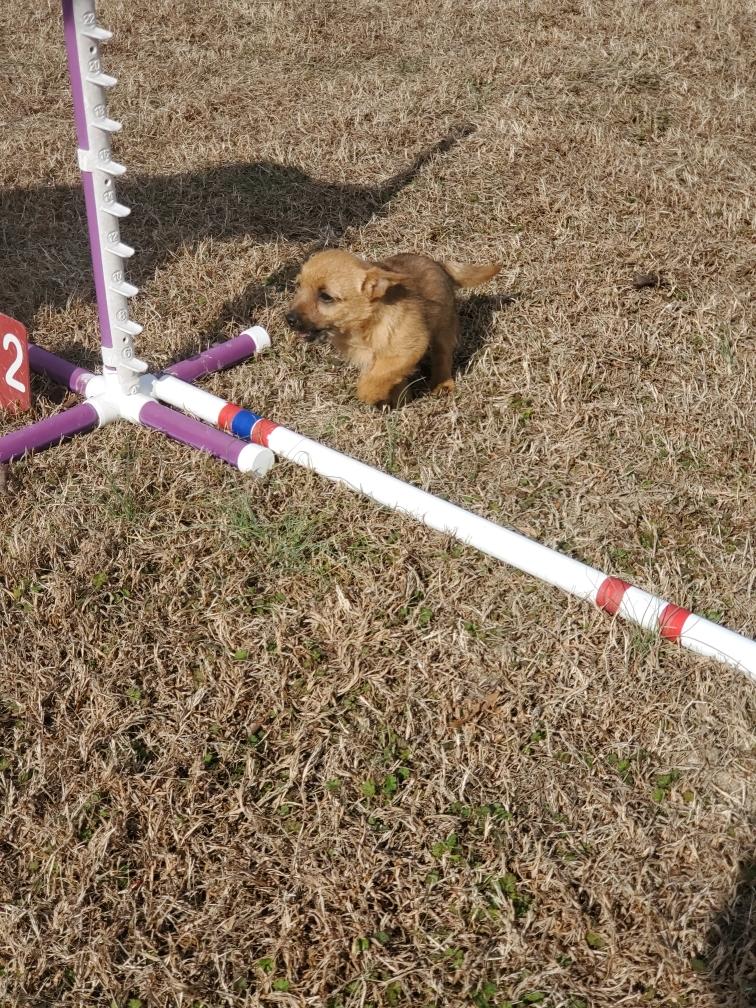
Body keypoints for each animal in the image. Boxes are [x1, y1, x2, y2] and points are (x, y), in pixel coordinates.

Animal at [285, 249, 501, 407]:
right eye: (298, 286)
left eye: (326, 297)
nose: (289, 319)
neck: (366, 326)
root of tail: (439, 265)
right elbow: (390, 375)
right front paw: (399, 399)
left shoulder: (408, 347)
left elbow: (380, 374)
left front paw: (370, 394)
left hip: (444, 327)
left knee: (443, 355)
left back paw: (443, 383)